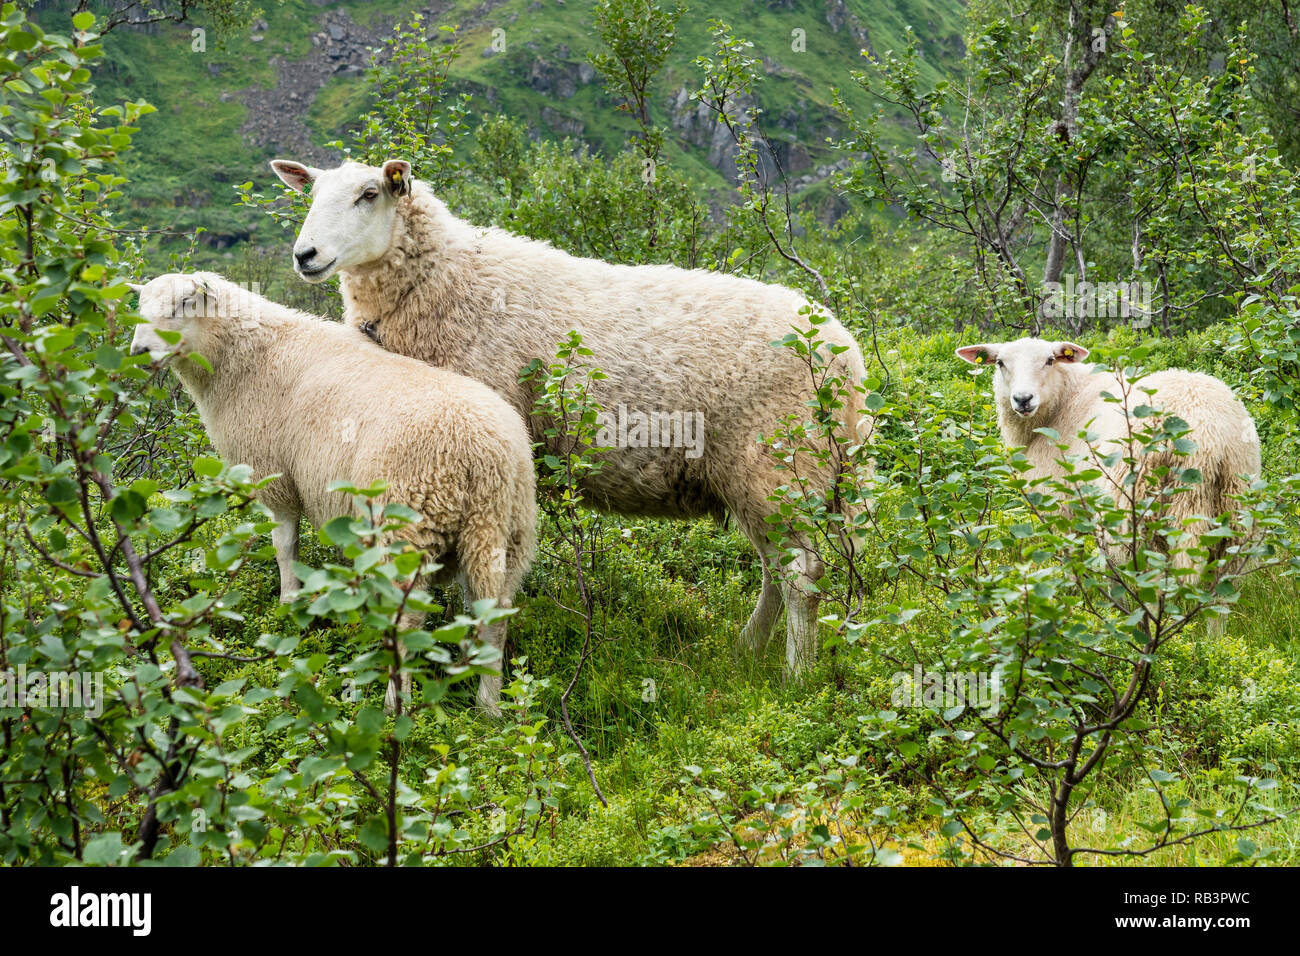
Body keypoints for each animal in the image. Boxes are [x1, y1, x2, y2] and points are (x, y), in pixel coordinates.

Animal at [131, 273, 538, 712]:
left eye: (185, 302)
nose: (138, 351)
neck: (244, 356)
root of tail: (481, 455)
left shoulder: (276, 478)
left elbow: (284, 547)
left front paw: (288, 607)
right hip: (505, 533)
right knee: (494, 619)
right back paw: (488, 708)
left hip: (406, 527)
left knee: (408, 621)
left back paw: (396, 705)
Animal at [267, 157, 868, 671]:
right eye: (311, 194)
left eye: (370, 194)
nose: (305, 255)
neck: (447, 280)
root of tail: (847, 356)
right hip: (760, 474)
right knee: (774, 567)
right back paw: (749, 647)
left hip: (778, 457)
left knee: (802, 573)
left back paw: (796, 674)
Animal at [956, 340, 1258, 572]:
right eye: (1000, 363)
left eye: (1050, 360)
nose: (1022, 399)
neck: (1064, 399)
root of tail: (1207, 433)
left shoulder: (1061, 506)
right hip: (1236, 501)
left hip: (1137, 505)